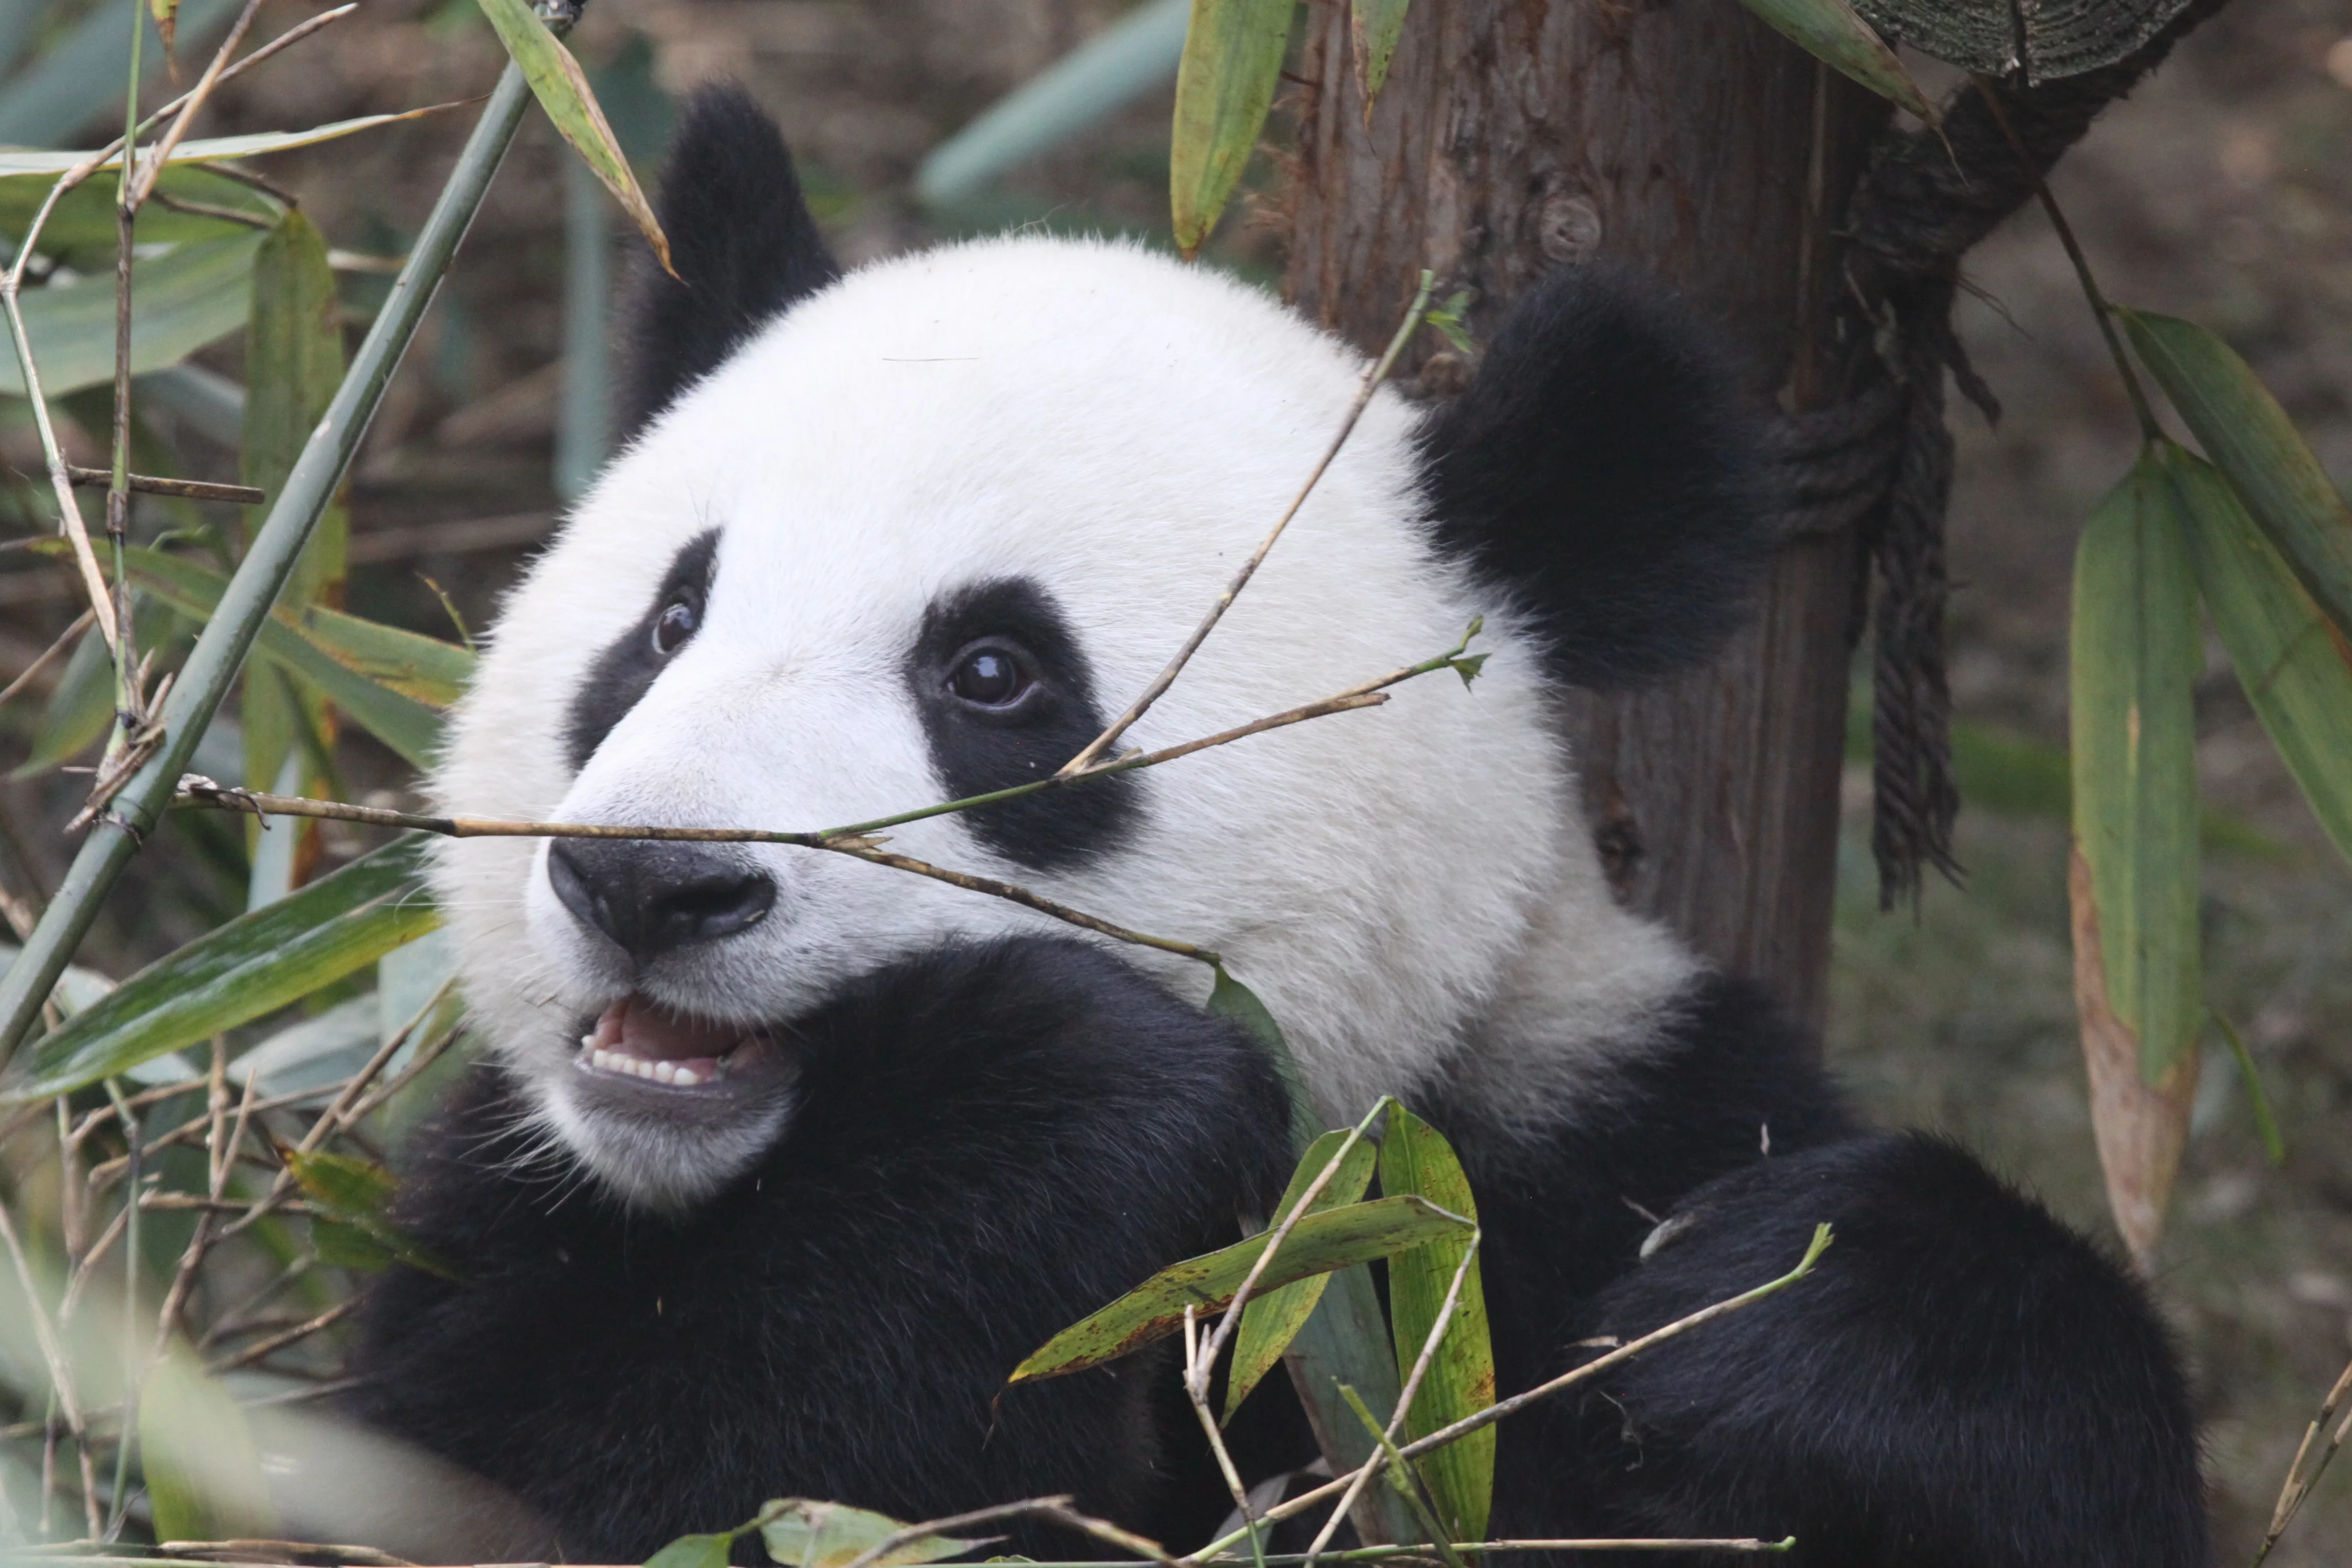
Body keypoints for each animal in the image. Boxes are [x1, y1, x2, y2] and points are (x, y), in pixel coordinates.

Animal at [346, 87, 2205, 1568]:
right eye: (666, 627)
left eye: (996, 674)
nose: (650, 880)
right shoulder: (512, 1215)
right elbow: (571, 1476)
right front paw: (1042, 1093)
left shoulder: (1540, 1140)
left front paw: (1780, 1323)